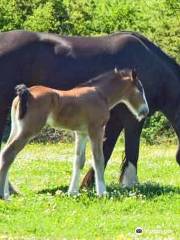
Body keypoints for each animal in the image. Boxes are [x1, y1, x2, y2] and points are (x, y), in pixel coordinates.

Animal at [0, 67, 149, 199]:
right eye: (140, 89)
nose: (145, 111)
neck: (101, 95)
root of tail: (25, 94)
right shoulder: (96, 130)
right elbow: (98, 159)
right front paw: (102, 192)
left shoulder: (81, 133)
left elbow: (79, 160)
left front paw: (72, 192)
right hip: (28, 130)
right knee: (8, 154)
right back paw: (4, 195)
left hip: (16, 129)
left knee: (5, 153)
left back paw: (7, 193)